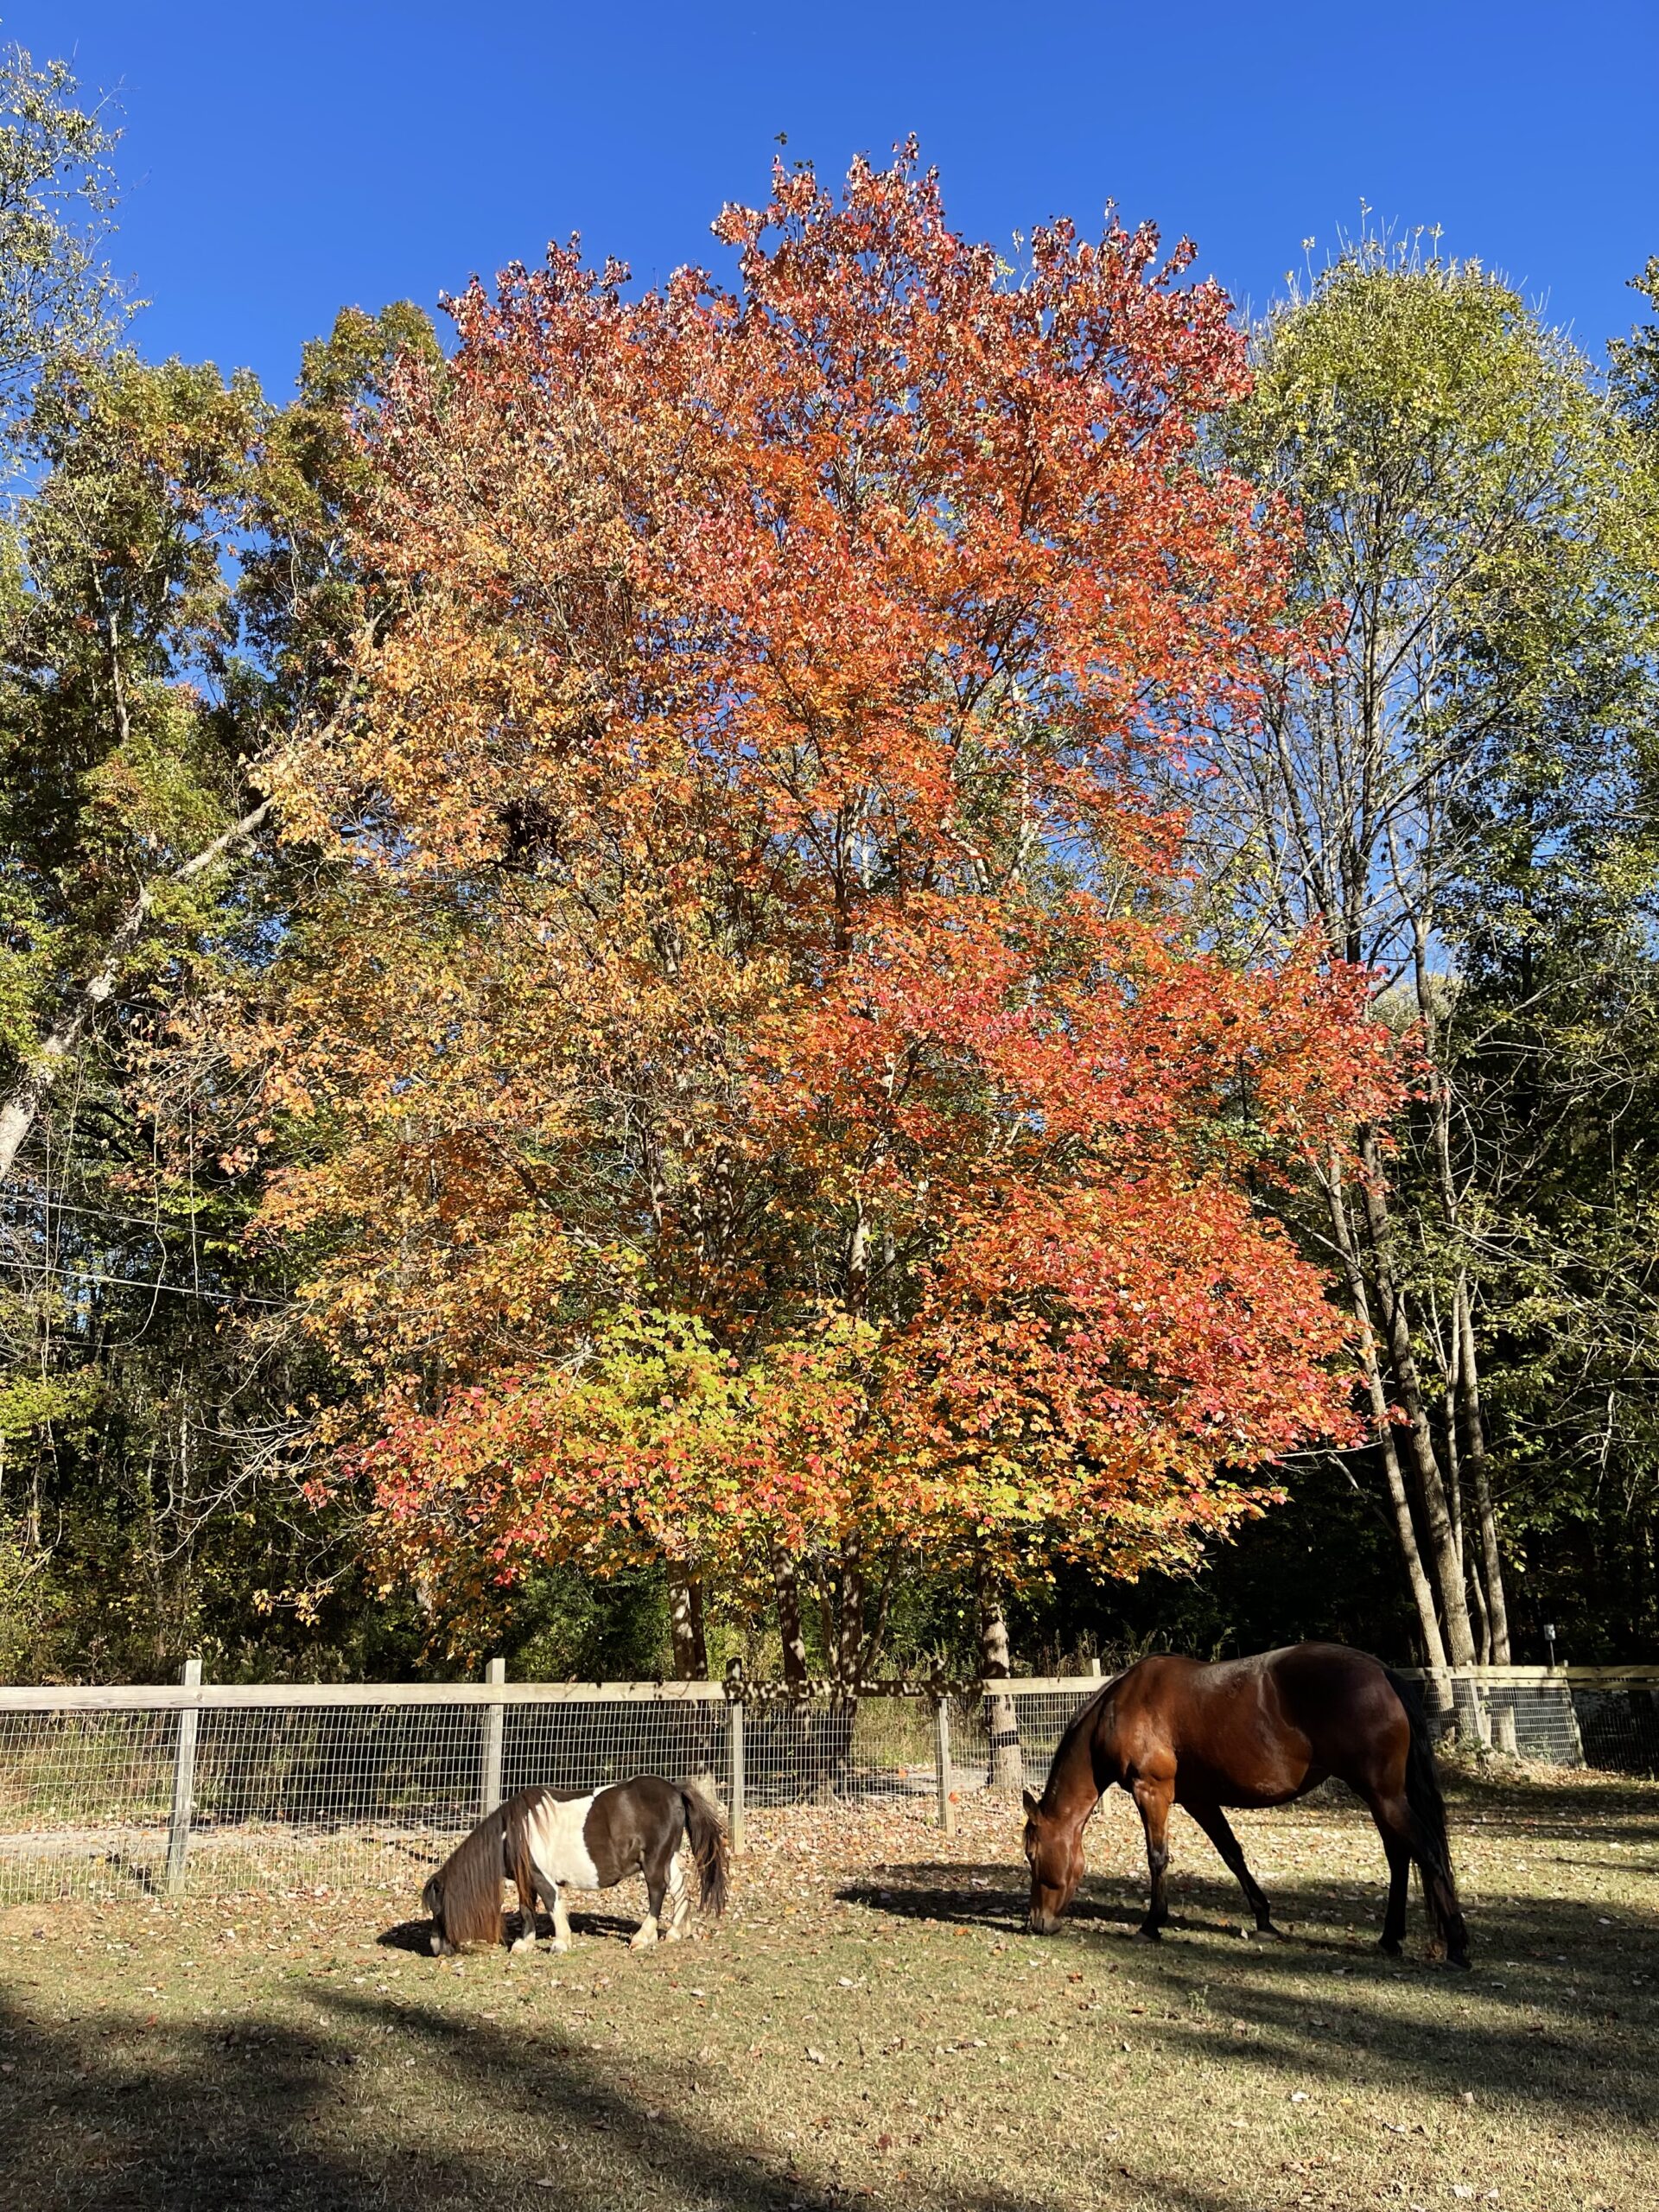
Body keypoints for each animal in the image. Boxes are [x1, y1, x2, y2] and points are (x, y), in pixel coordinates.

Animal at [422, 1770, 725, 1964]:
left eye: (438, 1910)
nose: (435, 1949)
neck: (514, 1832)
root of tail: (675, 1790)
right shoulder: (525, 1880)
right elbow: (526, 1909)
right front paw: (524, 1944)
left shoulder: (541, 1877)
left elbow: (552, 1905)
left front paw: (560, 1943)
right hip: (667, 1858)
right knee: (679, 1891)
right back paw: (675, 1932)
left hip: (653, 1861)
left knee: (658, 1893)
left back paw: (642, 1937)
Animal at [1021, 1645, 1478, 1973]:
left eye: (1032, 1854)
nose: (1037, 1923)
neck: (1121, 1707)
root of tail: (1384, 1673)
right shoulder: (1199, 1800)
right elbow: (1232, 1854)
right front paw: (1264, 1921)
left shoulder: (1152, 1792)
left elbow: (1157, 1858)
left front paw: (1152, 1924)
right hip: (1382, 1797)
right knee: (1400, 1856)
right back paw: (1390, 1938)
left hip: (1383, 1795)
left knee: (1427, 1852)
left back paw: (1457, 1946)